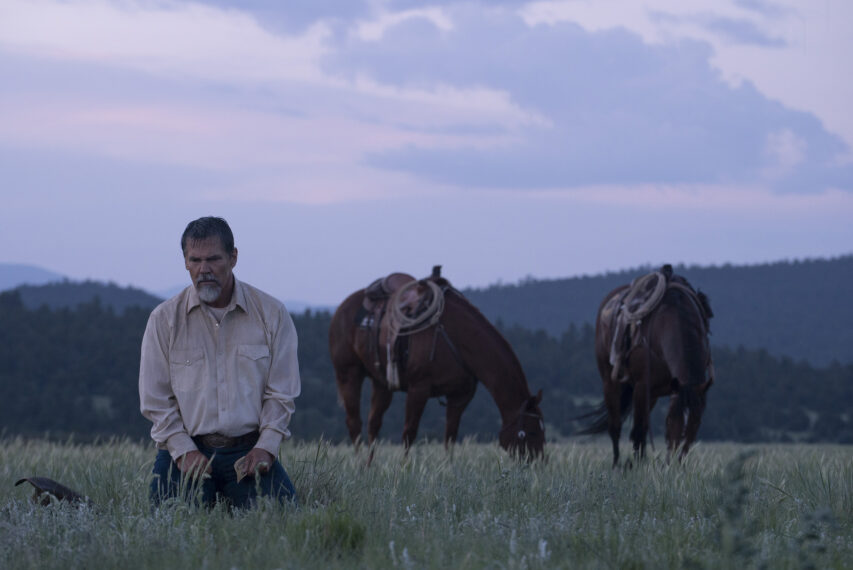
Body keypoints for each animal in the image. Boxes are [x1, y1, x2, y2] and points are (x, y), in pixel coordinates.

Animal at [330, 268, 544, 462]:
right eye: (531, 431)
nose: (538, 462)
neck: (456, 337)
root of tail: (341, 308)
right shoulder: (418, 389)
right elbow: (409, 433)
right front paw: (404, 470)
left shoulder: (460, 396)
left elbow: (450, 437)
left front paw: (449, 470)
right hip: (348, 374)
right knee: (354, 423)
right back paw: (359, 466)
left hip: (381, 383)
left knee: (373, 423)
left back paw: (370, 467)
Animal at [580, 264, 712, 464]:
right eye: (671, 421)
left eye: (696, 424)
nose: (675, 463)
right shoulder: (642, 386)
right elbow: (638, 431)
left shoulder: (666, 389)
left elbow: (640, 431)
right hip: (611, 382)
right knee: (616, 426)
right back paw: (616, 464)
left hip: (653, 394)